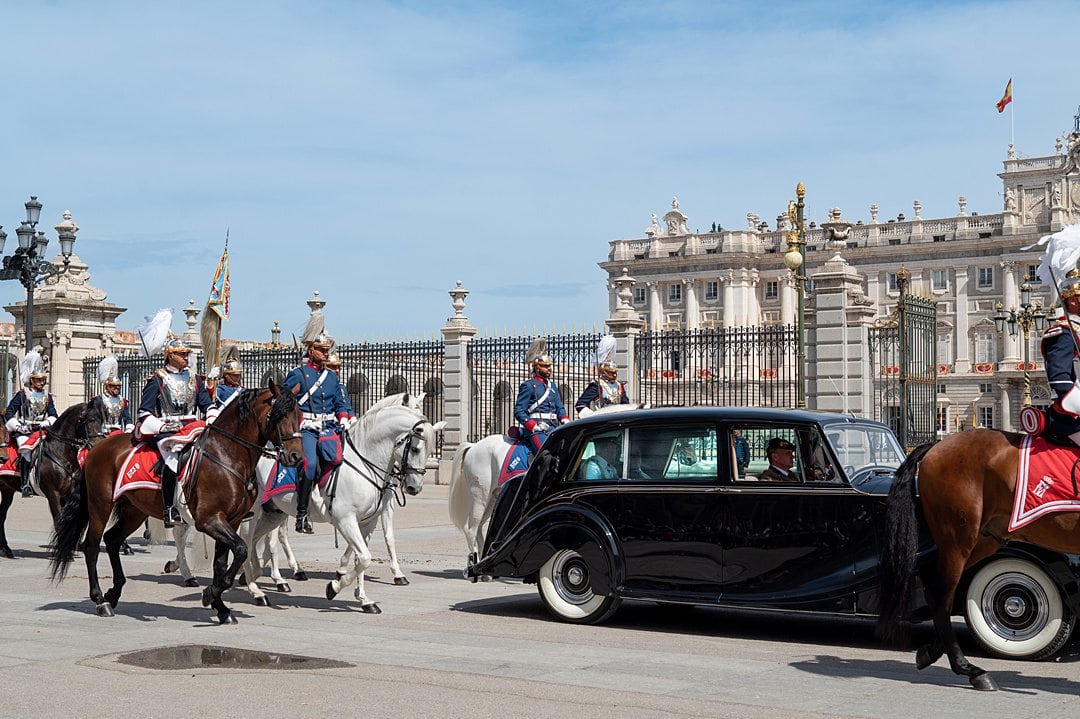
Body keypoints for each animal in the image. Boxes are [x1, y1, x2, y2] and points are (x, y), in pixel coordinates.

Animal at [0, 399, 109, 557]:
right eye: (90, 420)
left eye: (101, 420)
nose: (98, 444)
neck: (61, 453)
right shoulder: (53, 494)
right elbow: (58, 521)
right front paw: (62, 551)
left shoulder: (67, 495)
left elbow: (68, 520)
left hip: (7, 490)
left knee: (1, 516)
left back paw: (6, 549)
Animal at [49, 384, 304, 626]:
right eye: (279, 414)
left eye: (300, 414)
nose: (296, 457)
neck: (226, 455)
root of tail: (97, 448)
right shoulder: (209, 520)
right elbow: (240, 550)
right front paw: (210, 595)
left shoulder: (231, 521)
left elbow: (222, 564)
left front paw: (221, 607)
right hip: (100, 505)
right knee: (92, 546)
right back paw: (100, 600)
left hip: (135, 511)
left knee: (112, 540)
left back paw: (114, 592)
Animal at [244, 395, 442, 608]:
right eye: (415, 449)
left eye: (430, 450)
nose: (415, 487)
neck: (365, 461)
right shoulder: (345, 519)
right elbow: (364, 557)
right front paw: (335, 585)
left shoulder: (369, 520)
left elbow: (365, 554)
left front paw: (364, 598)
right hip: (253, 510)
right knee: (252, 539)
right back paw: (259, 587)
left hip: (275, 512)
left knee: (257, 539)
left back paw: (253, 573)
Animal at [876, 425, 1080, 690]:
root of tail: (937, 445)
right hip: (958, 541)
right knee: (941, 596)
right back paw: (968, 668)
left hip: (983, 540)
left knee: (934, 587)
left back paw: (935, 651)